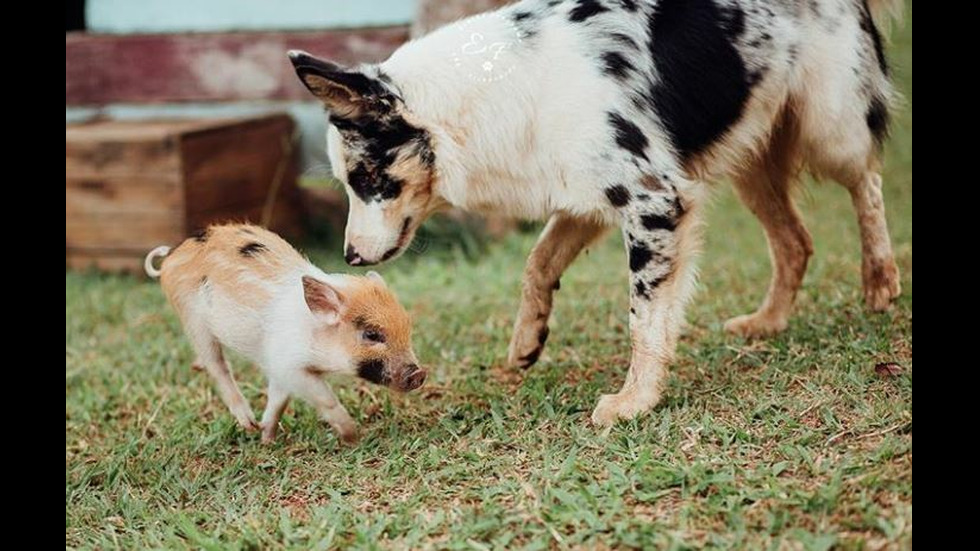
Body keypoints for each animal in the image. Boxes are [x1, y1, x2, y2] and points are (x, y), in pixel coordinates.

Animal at [145, 224, 424, 444]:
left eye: (407, 328)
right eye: (371, 335)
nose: (420, 373)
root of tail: (172, 255)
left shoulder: (278, 370)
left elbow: (278, 401)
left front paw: (266, 439)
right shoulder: (289, 364)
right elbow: (325, 399)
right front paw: (354, 438)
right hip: (192, 320)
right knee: (217, 366)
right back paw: (247, 423)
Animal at [286, 0, 904, 426]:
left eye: (366, 180)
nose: (349, 257)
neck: (489, 91)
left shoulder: (655, 199)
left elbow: (644, 316)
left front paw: (635, 401)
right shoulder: (586, 197)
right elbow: (537, 262)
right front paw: (528, 340)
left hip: (830, 126)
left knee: (867, 183)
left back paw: (880, 279)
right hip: (751, 149)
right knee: (796, 240)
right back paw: (768, 321)